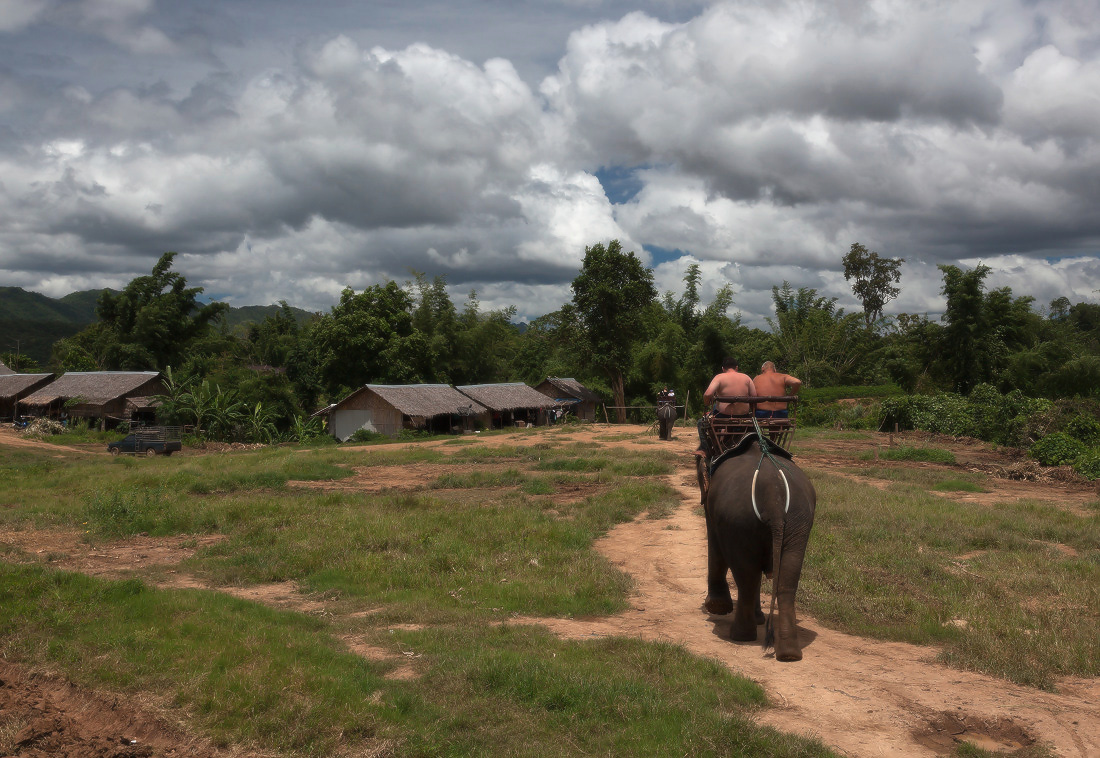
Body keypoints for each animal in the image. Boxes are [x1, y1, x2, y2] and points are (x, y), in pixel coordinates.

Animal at [699, 435, 814, 660]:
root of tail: (774, 498)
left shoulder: (712, 509)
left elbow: (715, 546)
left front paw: (717, 608)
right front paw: (759, 617)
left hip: (737, 519)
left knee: (746, 577)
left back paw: (740, 636)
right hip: (799, 520)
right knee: (786, 580)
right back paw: (789, 654)